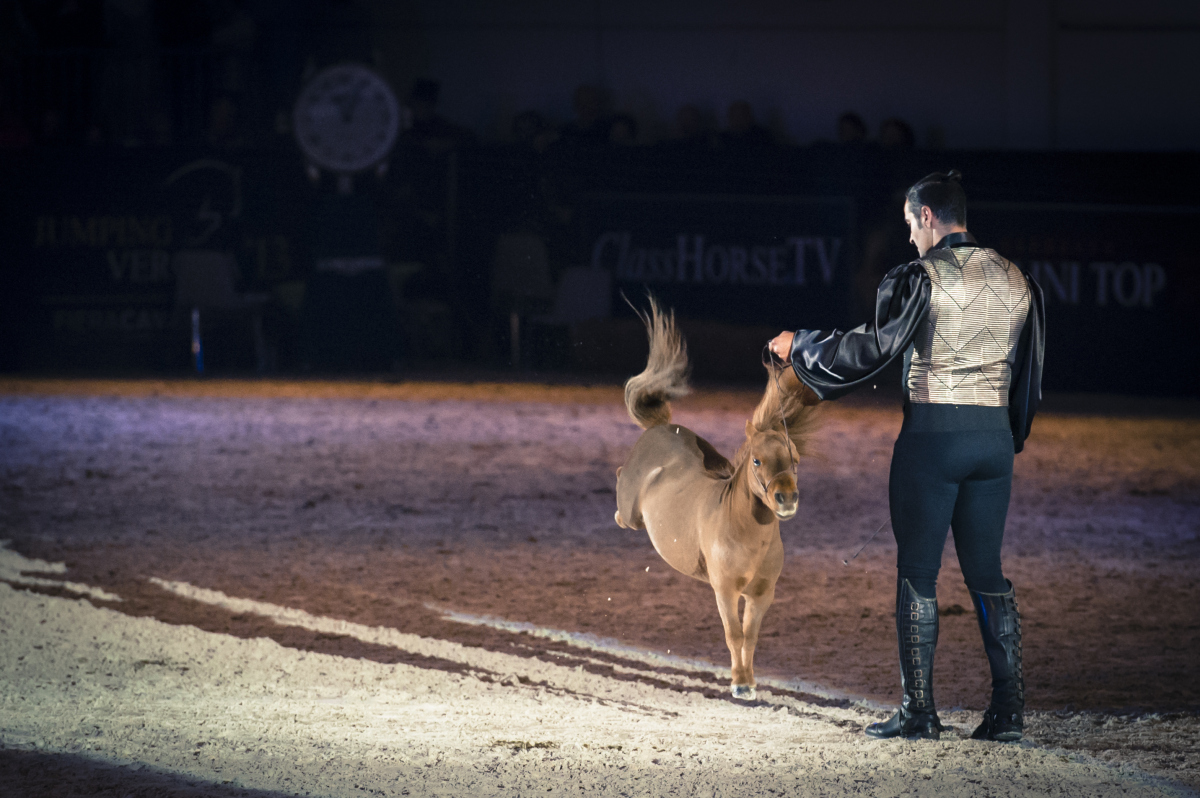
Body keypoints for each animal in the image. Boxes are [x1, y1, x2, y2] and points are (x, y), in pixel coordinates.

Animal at [614, 298, 819, 699]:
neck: (745, 534)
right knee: (619, 499)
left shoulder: (761, 594)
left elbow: (750, 636)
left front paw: (749, 682)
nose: (786, 498)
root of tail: (661, 427)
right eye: (757, 460)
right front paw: (738, 684)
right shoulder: (724, 590)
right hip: (630, 512)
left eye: (795, 459)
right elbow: (734, 634)